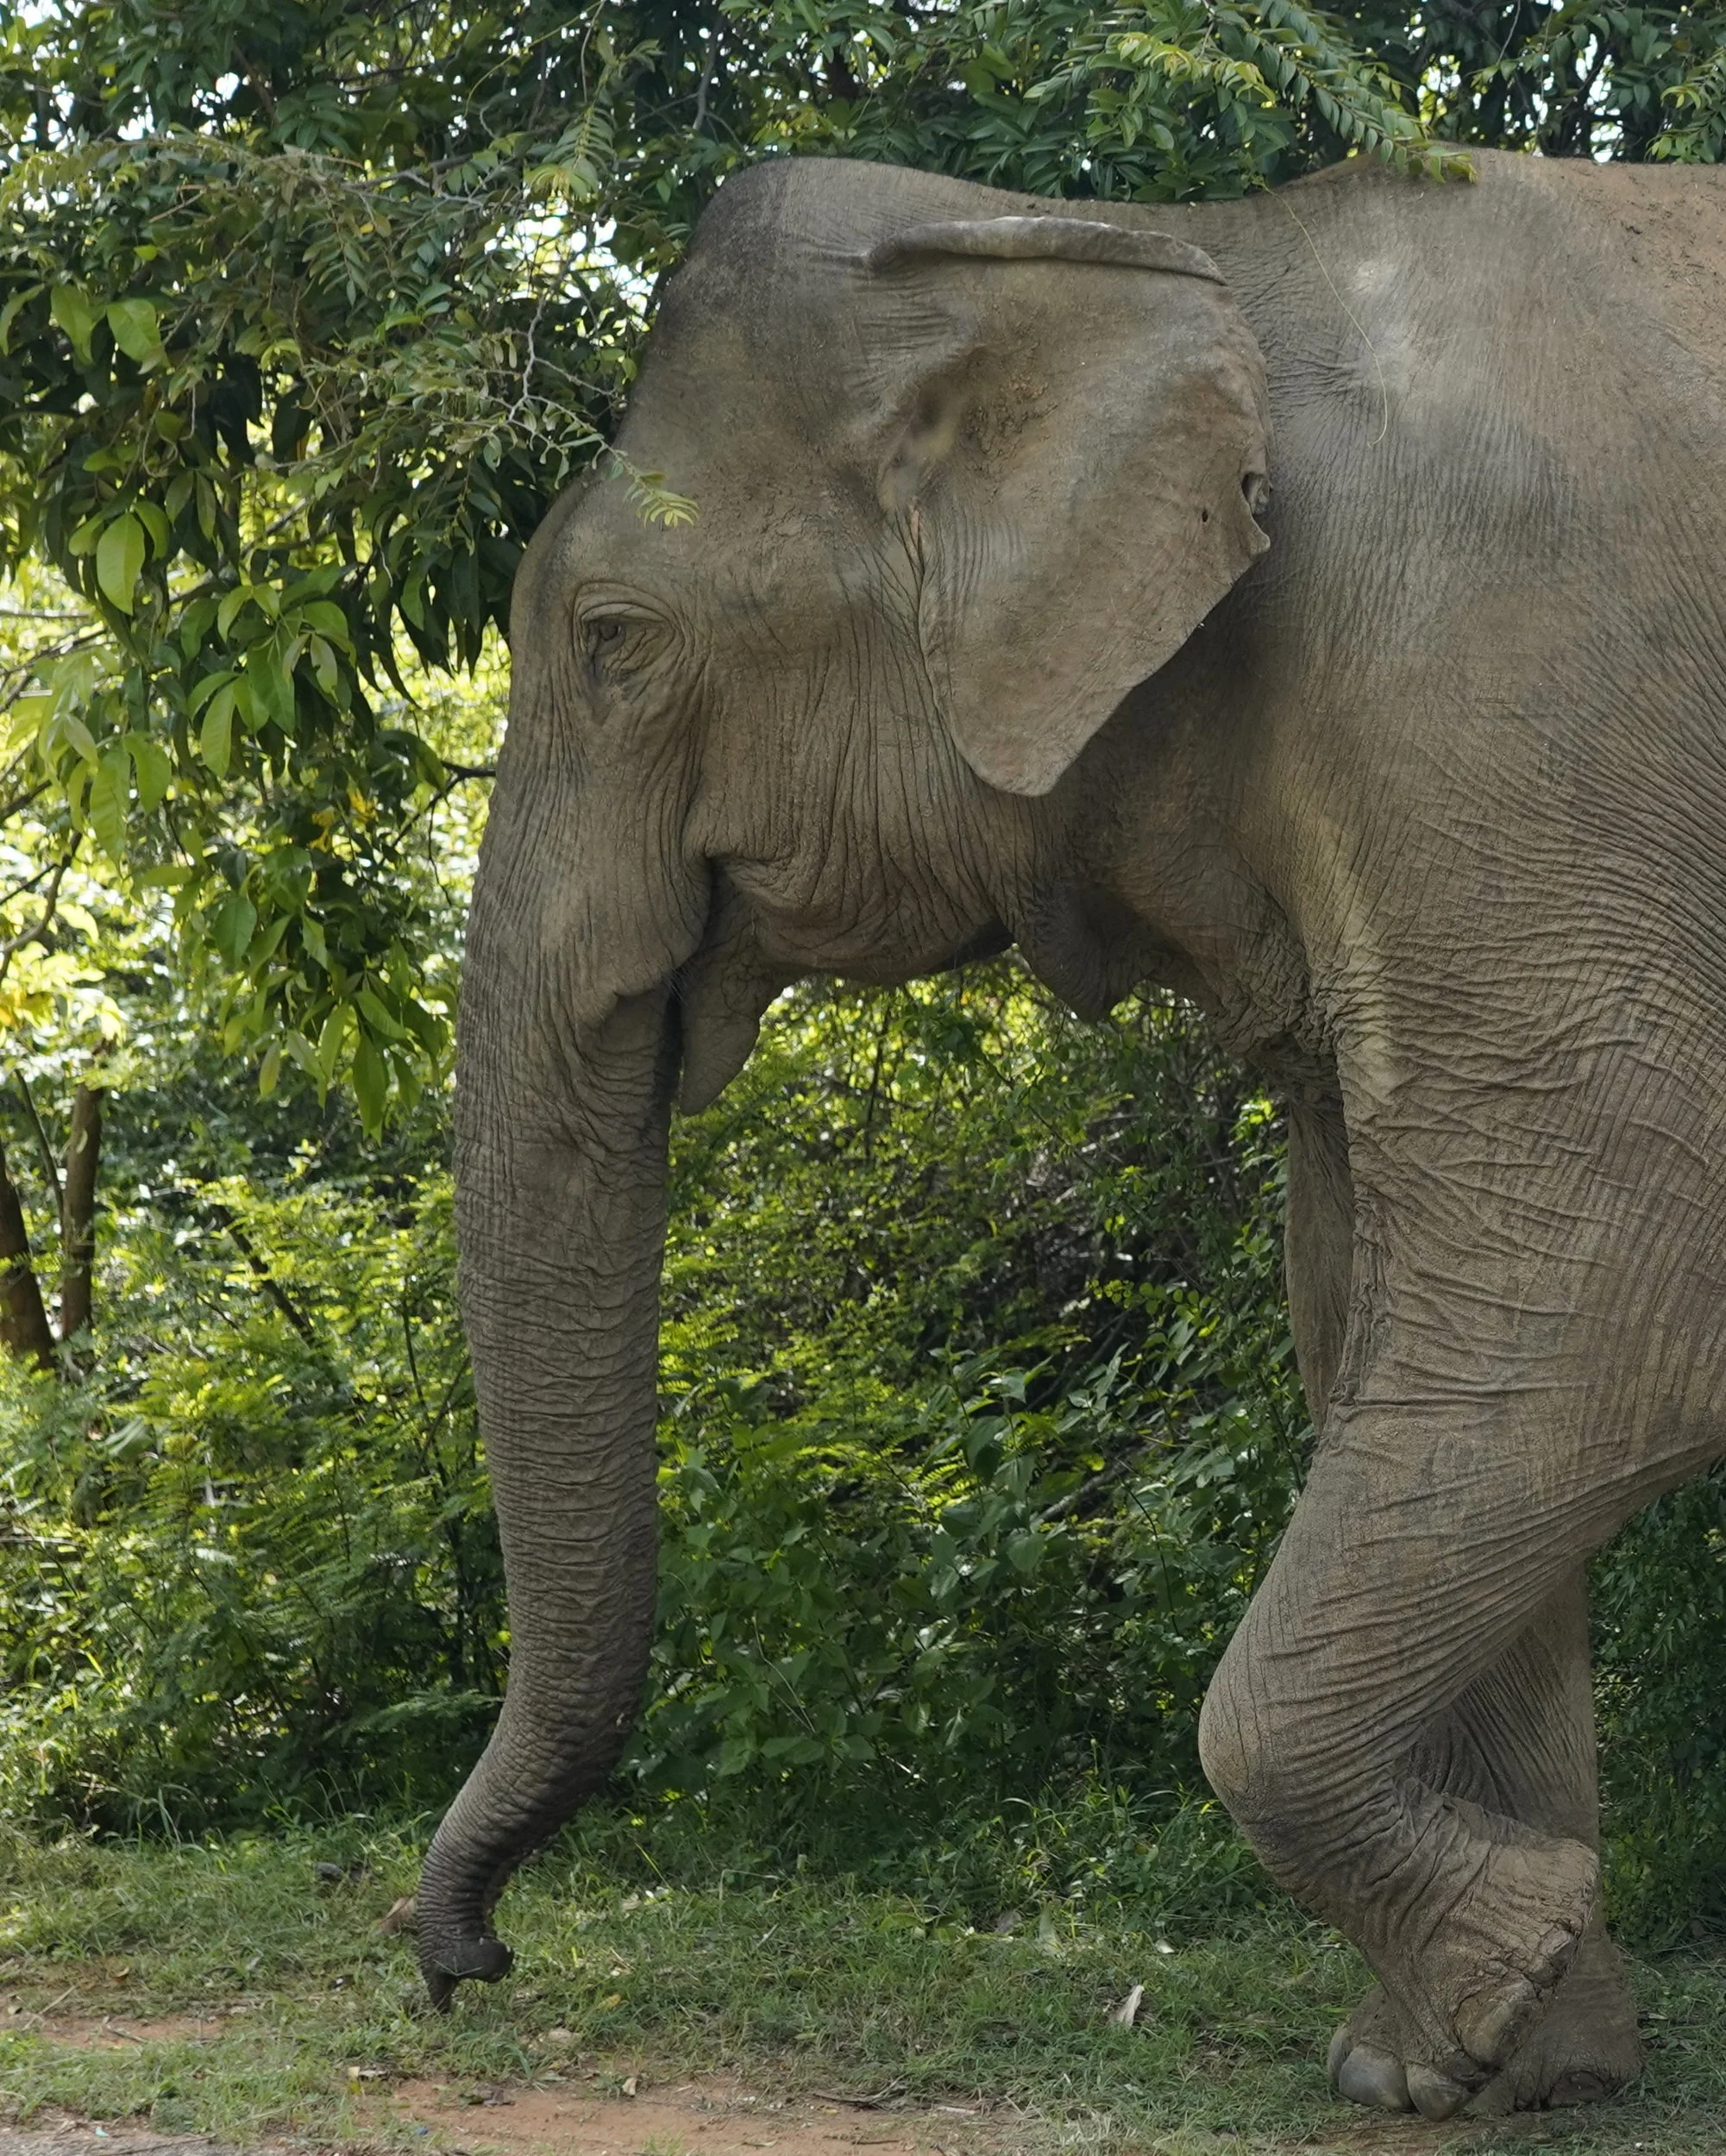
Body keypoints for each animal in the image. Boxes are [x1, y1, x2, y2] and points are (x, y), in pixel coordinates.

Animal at [414, 142, 1726, 2124]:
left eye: (610, 641)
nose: (459, 1961)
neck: (1164, 250)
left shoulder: (1512, 712)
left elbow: (1597, 1309)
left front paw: (1502, 1970)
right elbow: (1392, 1324)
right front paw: (1472, 2067)